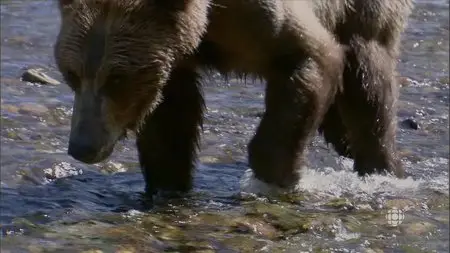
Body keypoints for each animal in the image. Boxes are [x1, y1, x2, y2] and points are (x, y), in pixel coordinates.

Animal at [53, 0, 414, 196]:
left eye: (117, 78)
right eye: (71, 73)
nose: (82, 147)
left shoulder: (262, 20)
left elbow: (313, 55)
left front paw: (278, 177)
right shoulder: (178, 54)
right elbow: (171, 116)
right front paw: (168, 184)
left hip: (363, 13)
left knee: (368, 78)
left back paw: (383, 167)